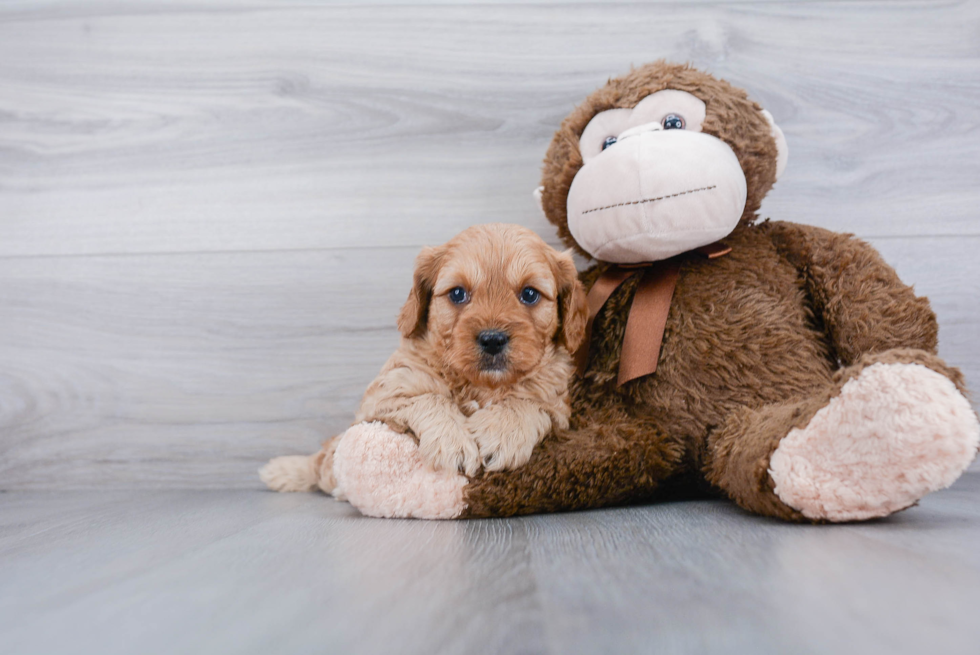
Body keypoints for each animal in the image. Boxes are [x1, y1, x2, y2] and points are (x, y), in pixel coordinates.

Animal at [256, 223, 584, 494]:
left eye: (529, 294)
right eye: (457, 294)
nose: (492, 339)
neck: (479, 385)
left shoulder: (557, 408)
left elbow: (527, 403)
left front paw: (501, 433)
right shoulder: (383, 396)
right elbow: (429, 398)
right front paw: (453, 443)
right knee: (323, 459)